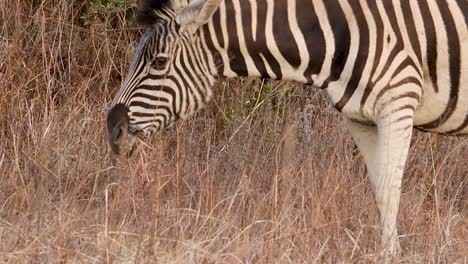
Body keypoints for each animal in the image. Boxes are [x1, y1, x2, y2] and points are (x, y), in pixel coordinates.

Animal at [107, 0, 468, 256]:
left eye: (159, 62)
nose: (113, 131)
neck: (338, 34)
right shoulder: (361, 119)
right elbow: (379, 191)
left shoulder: (398, 102)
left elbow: (392, 191)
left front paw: (390, 255)